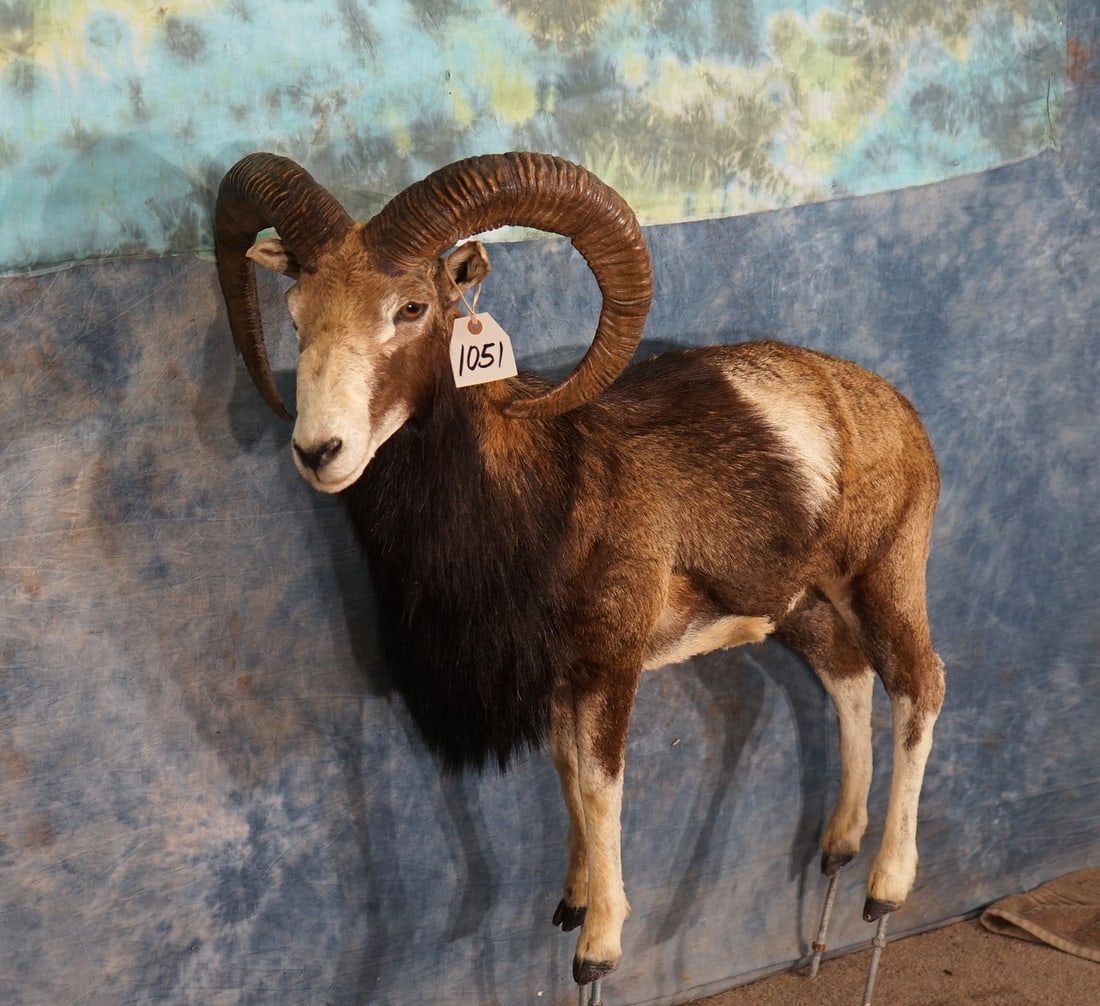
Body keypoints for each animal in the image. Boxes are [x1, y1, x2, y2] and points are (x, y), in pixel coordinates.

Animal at [214, 150, 945, 1004]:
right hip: (802, 608)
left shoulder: (608, 672)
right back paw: (835, 857)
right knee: (849, 679)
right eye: (296, 314)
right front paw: (572, 901)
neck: (537, 499)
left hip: (884, 579)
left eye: (412, 308)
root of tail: (895, 410)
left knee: (917, 687)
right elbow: (565, 775)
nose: (319, 450)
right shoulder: (558, 684)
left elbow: (599, 788)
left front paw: (599, 947)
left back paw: (883, 892)